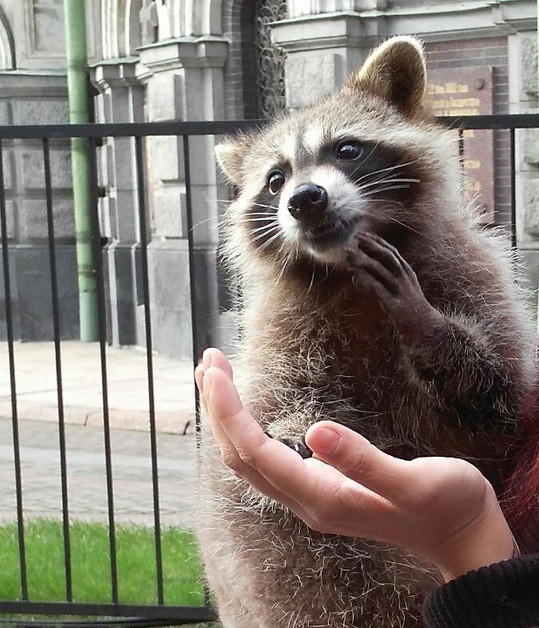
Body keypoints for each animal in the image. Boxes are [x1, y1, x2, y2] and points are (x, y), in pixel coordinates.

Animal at [194, 36, 536, 624]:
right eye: (275, 179)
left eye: (347, 149)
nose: (305, 198)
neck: (344, 272)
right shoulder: (282, 327)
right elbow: (279, 391)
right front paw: (293, 421)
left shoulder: (478, 279)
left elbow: (495, 405)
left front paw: (426, 328)